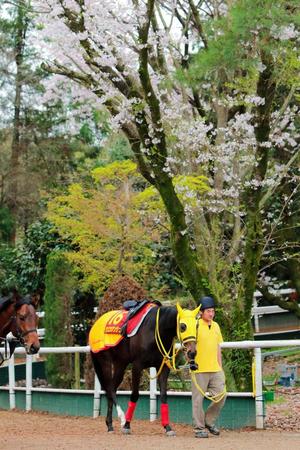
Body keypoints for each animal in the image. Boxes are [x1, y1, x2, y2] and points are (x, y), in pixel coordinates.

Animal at [90, 302, 200, 436]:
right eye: (183, 326)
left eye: (197, 326)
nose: (192, 352)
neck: (156, 330)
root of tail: (96, 324)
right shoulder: (137, 366)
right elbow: (135, 395)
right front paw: (127, 425)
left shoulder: (163, 367)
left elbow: (163, 395)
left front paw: (168, 427)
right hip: (104, 361)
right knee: (110, 389)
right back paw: (122, 418)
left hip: (120, 364)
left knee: (112, 389)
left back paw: (110, 424)